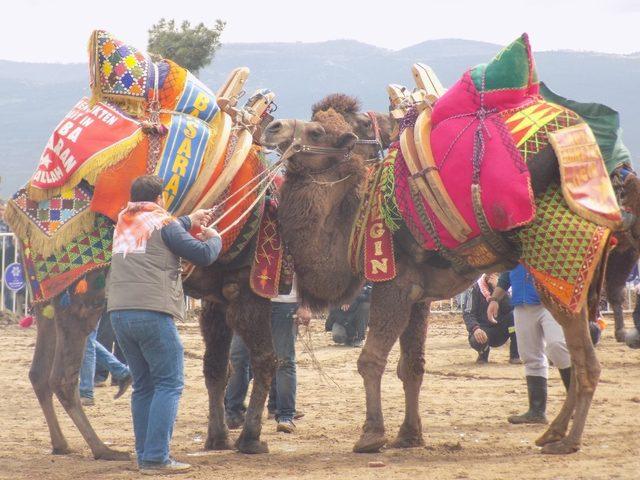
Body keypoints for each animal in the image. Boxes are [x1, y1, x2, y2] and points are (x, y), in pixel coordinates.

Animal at [23, 94, 396, 462]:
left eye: (319, 129)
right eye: (363, 124)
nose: (275, 127)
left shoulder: (217, 299)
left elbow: (216, 367)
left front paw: (217, 438)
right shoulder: (249, 293)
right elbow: (265, 362)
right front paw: (250, 438)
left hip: (47, 296)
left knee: (39, 374)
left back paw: (61, 443)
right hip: (83, 296)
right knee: (62, 378)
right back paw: (102, 448)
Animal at [262, 94, 616, 454]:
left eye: (317, 132)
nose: (273, 127)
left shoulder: (393, 282)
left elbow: (370, 359)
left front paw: (371, 435)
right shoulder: (419, 296)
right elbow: (412, 366)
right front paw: (409, 435)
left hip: (559, 265)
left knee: (585, 361)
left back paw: (568, 440)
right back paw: (553, 433)